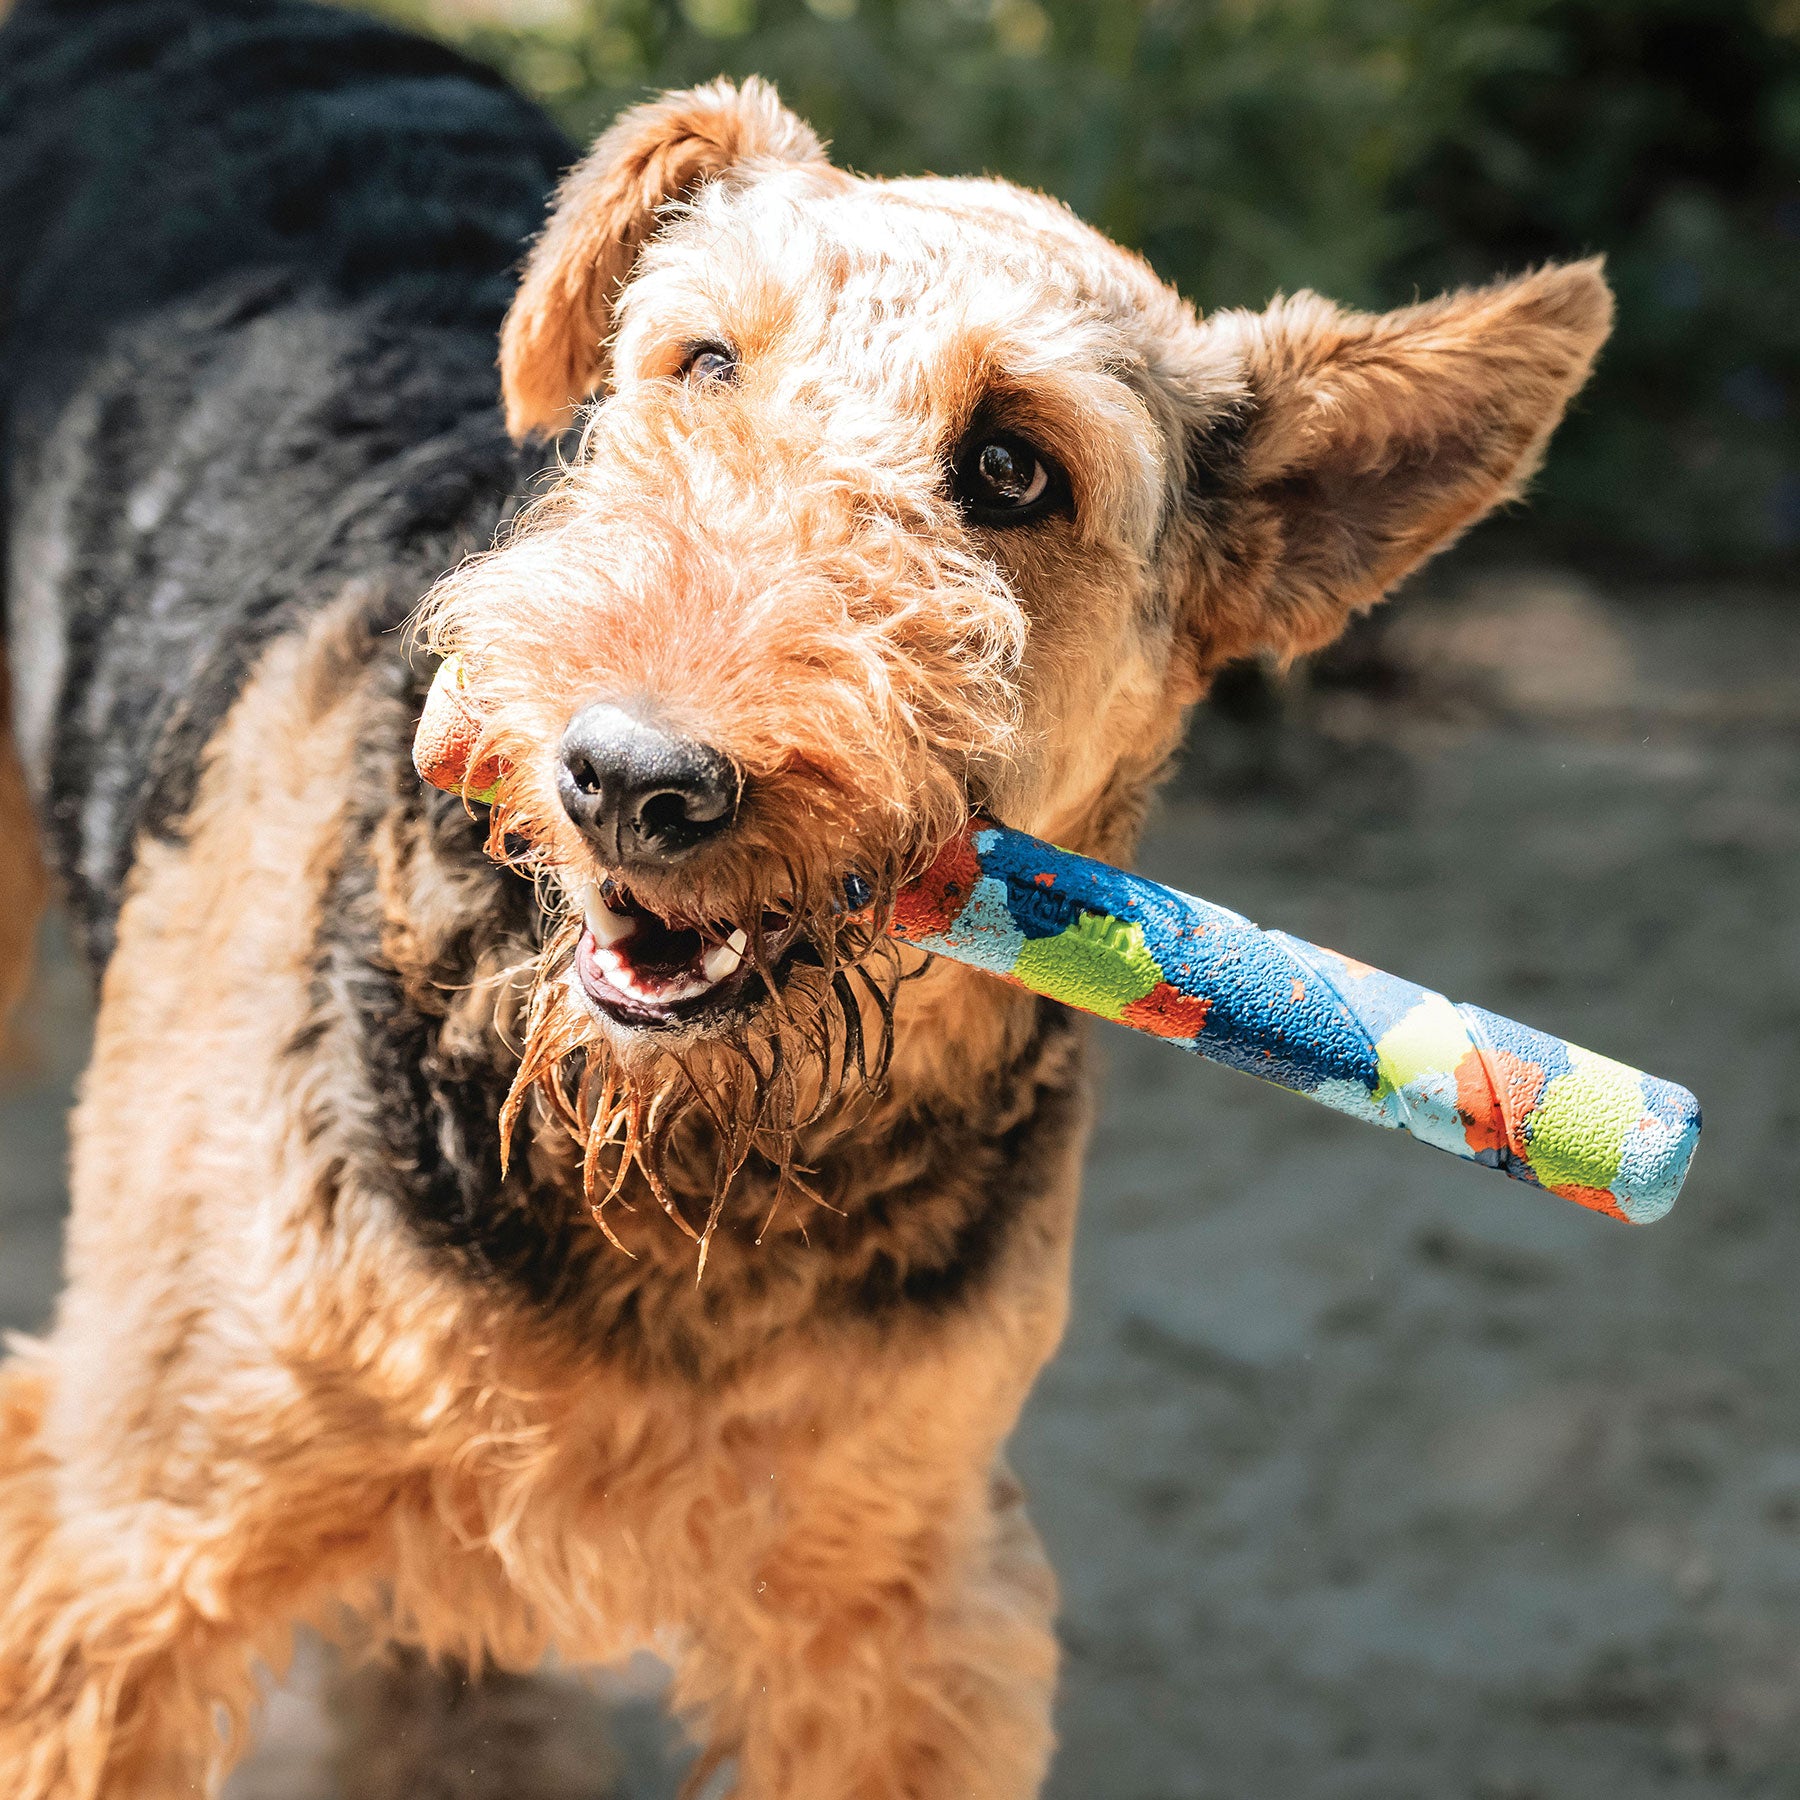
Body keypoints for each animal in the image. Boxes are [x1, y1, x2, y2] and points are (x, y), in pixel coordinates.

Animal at [0, 7, 1612, 1792]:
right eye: (704, 363)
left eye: (1012, 468)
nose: (632, 777)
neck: (672, 1176)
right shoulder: (123, 1545)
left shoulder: (896, 1613)